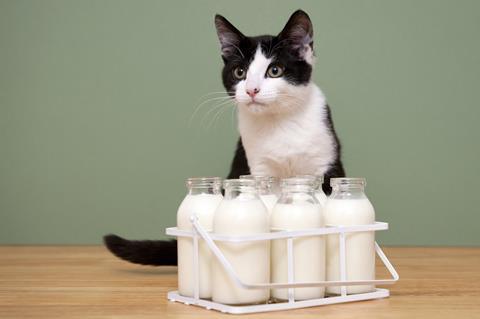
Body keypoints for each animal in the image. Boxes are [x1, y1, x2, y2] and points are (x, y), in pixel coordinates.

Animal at [104, 8, 344, 266]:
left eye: (275, 70)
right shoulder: (257, 166)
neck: (280, 123)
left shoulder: (325, 160)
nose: (251, 90)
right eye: (240, 72)